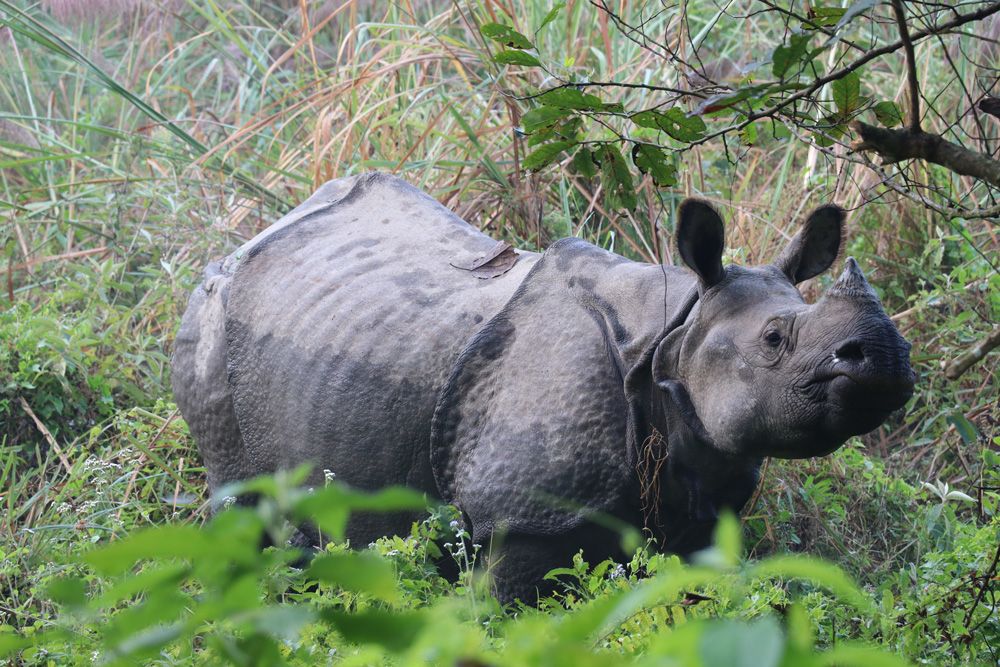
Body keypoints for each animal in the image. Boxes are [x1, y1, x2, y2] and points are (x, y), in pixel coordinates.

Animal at [171, 172, 915, 603]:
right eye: (774, 340)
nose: (888, 357)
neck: (673, 334)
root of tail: (247, 239)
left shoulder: (702, 504)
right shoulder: (522, 515)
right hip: (208, 320)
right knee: (237, 498)